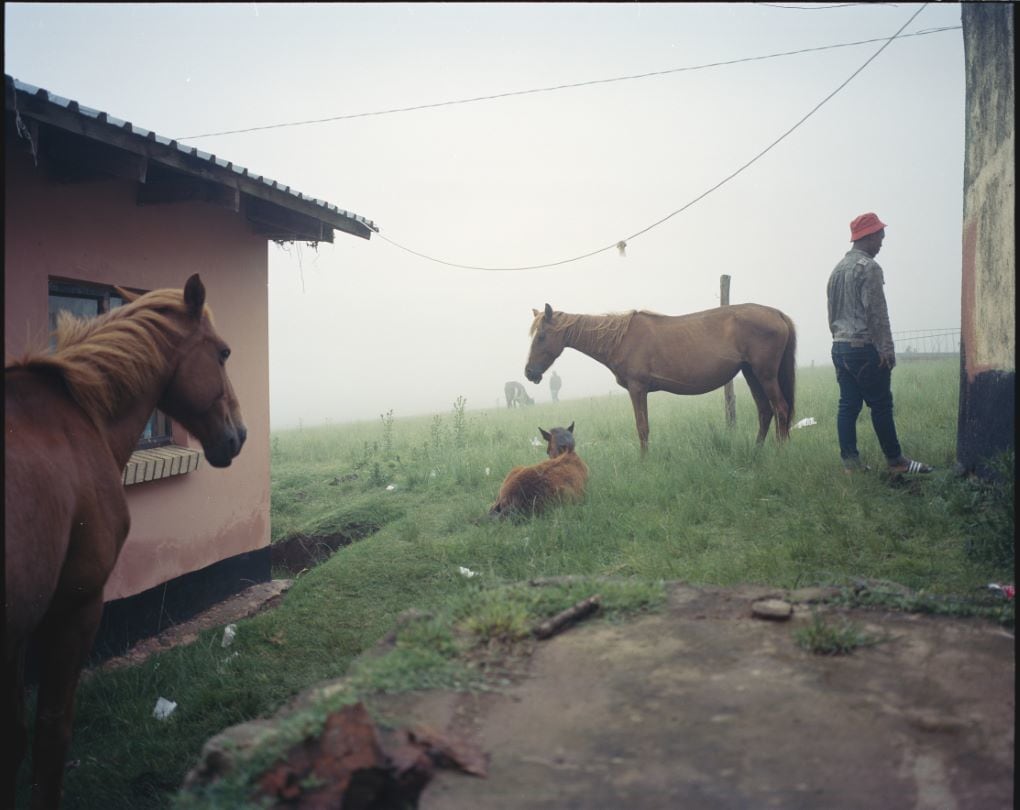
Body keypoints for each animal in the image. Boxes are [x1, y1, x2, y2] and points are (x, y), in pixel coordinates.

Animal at [526, 301, 795, 454]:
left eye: (541, 336)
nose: (529, 372)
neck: (619, 339)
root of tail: (777, 314)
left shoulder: (637, 389)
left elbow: (642, 428)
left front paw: (644, 462)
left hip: (765, 375)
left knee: (781, 409)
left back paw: (780, 453)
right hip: (751, 374)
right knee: (765, 411)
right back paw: (757, 452)